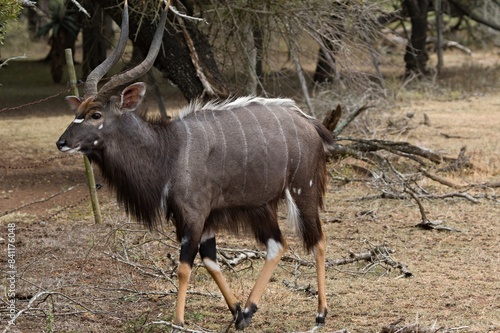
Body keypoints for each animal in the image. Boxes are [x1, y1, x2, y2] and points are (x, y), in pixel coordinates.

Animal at [56, 0, 332, 330]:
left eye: (96, 114)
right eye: (79, 111)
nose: (62, 142)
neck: (169, 148)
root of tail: (310, 123)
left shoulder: (194, 215)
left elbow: (184, 266)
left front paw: (178, 320)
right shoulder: (204, 217)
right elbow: (210, 261)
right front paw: (237, 310)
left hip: (303, 190)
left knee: (318, 240)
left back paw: (321, 313)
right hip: (262, 205)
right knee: (278, 245)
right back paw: (249, 310)